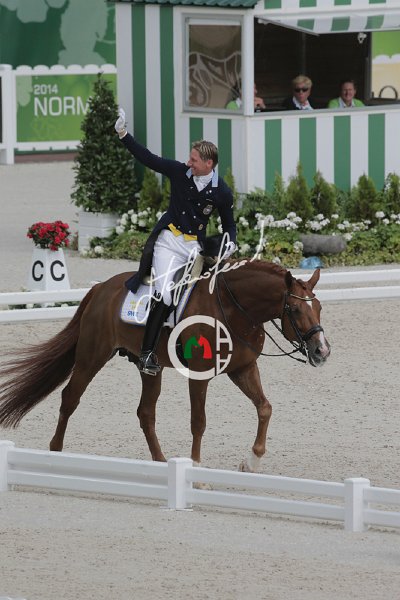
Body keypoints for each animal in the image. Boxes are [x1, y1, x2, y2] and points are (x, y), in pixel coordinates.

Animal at [0, 259, 330, 472]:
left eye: (318, 307)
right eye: (294, 309)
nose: (322, 351)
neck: (234, 308)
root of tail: (102, 288)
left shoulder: (243, 369)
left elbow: (265, 408)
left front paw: (252, 461)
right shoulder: (199, 375)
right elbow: (199, 421)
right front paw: (196, 468)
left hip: (150, 368)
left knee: (145, 413)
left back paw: (160, 464)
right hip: (92, 356)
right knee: (70, 398)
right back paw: (55, 455)